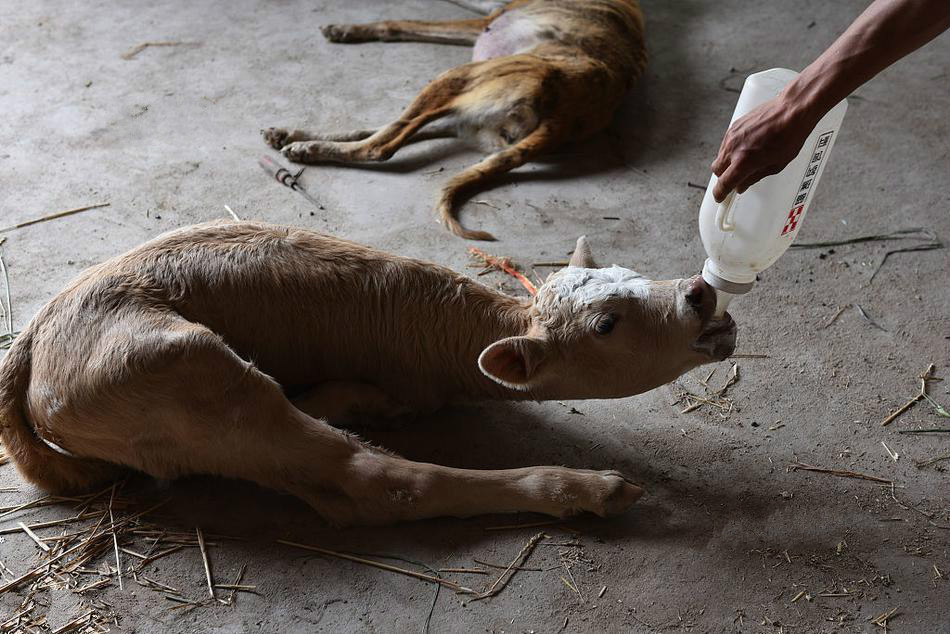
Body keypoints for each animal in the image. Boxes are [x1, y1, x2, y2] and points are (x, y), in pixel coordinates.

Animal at [0, 222, 740, 524]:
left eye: (633, 274)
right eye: (606, 325)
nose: (699, 294)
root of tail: (33, 339)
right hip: (190, 371)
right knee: (375, 485)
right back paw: (585, 489)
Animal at [264, 0, 652, 239]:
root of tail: (564, 115)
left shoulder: (485, 18)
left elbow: (398, 22)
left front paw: (348, 28)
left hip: (458, 78)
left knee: (383, 144)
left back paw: (308, 148)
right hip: (466, 111)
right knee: (387, 129)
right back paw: (291, 135)